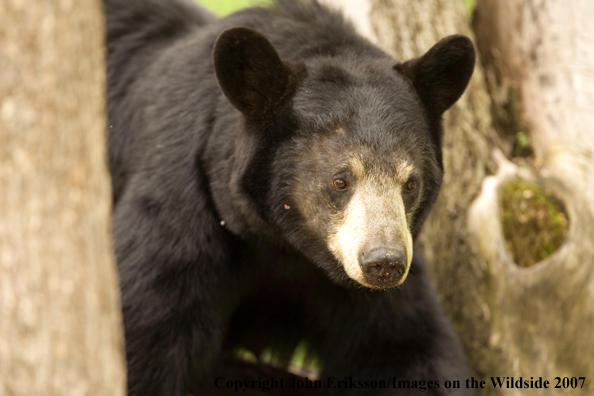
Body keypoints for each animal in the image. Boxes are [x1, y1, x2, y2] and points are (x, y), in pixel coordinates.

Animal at [103, 0, 472, 394]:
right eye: (340, 180)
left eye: (410, 183)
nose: (383, 263)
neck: (285, 247)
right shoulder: (179, 215)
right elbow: (146, 336)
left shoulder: (374, 287)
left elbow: (402, 348)